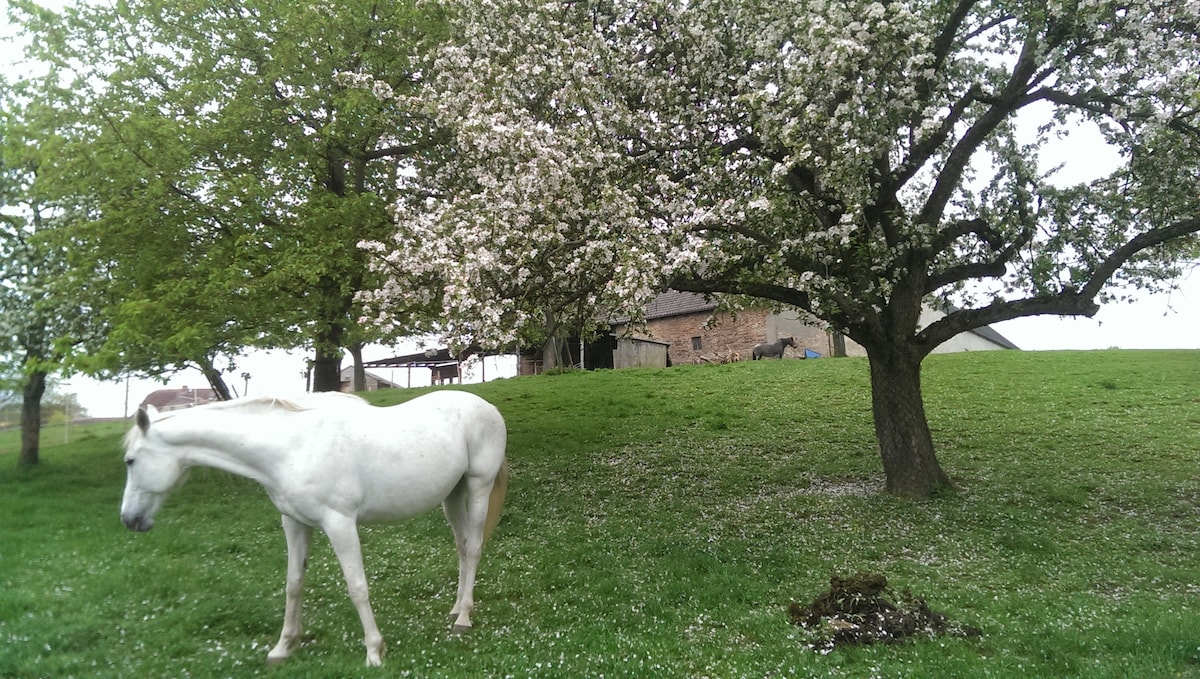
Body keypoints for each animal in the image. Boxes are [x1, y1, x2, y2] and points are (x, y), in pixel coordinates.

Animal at [121, 391, 511, 667]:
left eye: (130, 460)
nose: (129, 520)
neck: (290, 447)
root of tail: (488, 407)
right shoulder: (295, 523)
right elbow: (294, 583)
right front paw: (283, 647)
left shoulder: (339, 523)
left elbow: (357, 587)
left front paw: (374, 651)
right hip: (452, 496)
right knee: (462, 546)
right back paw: (457, 608)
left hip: (477, 487)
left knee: (473, 546)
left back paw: (463, 618)